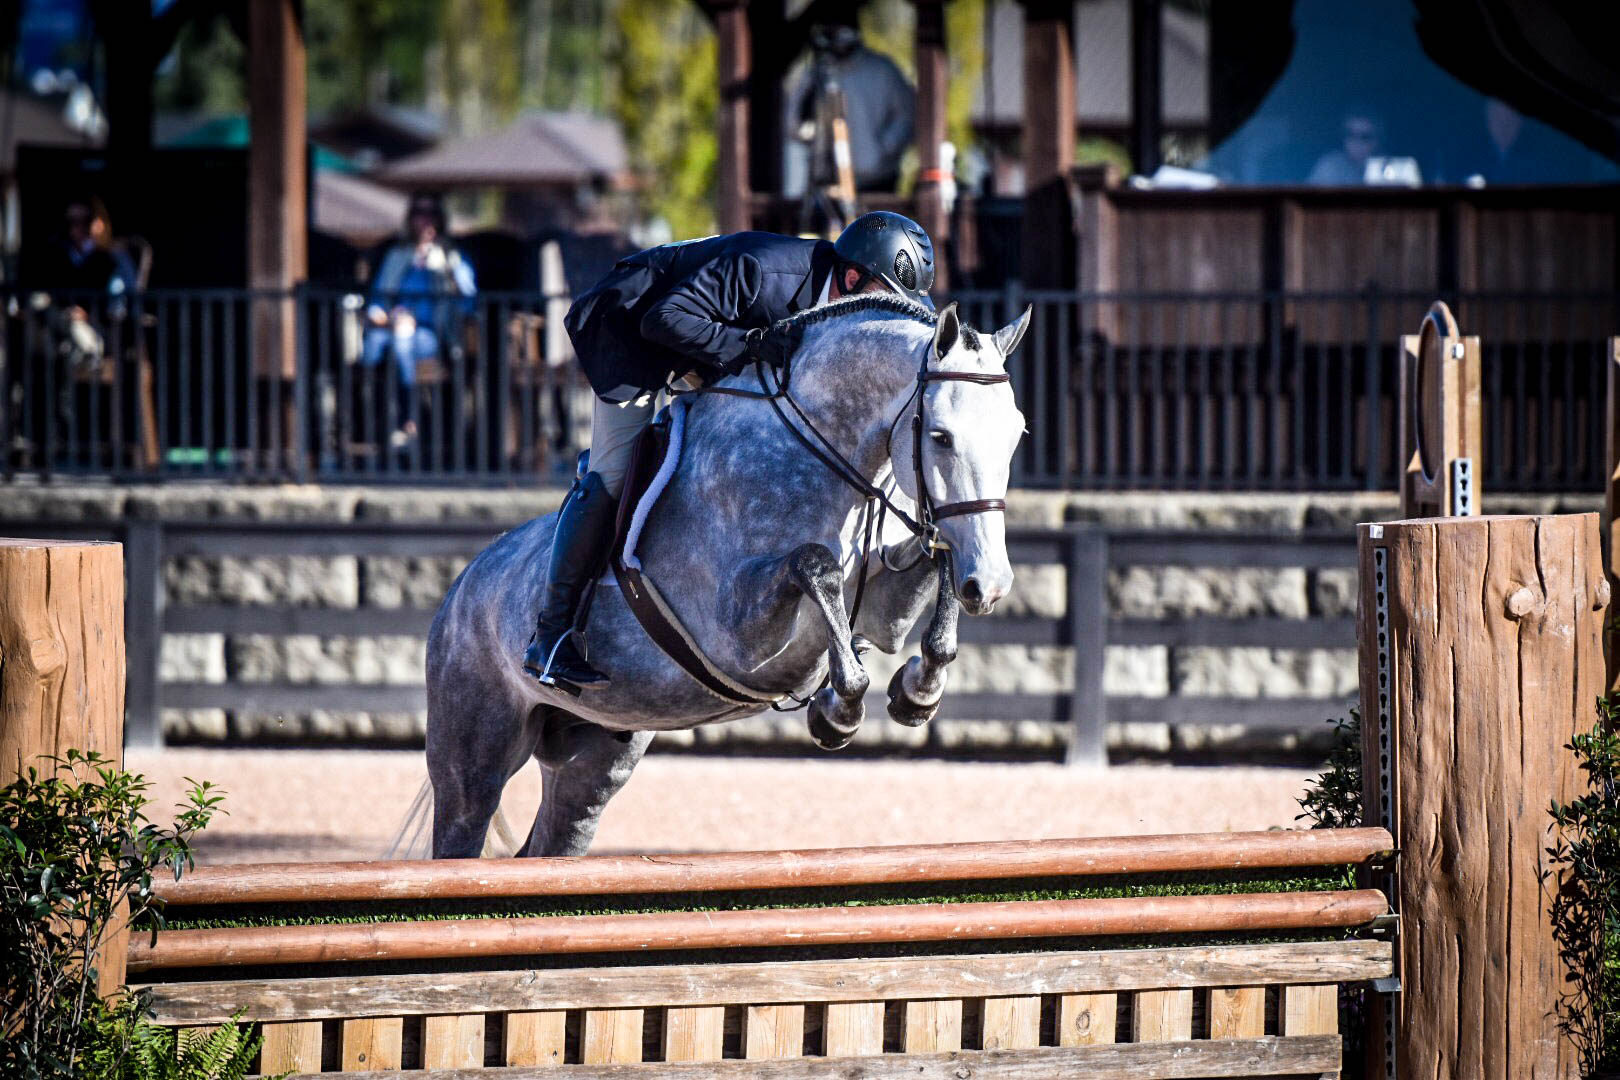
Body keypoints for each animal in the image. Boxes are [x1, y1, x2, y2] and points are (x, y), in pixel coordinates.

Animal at [417, 293, 1023, 854]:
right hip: (473, 757)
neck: (822, 451)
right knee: (462, 829)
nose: (992, 586)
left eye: (1017, 434)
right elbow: (814, 564)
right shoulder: (736, 633)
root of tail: (460, 589)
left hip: (594, 758)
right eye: (940, 435)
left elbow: (937, 562)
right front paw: (841, 711)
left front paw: (917, 693)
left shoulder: (883, 605)